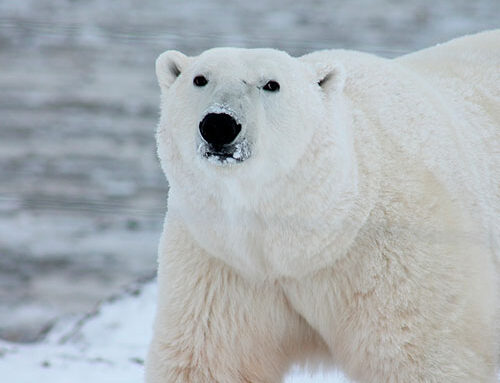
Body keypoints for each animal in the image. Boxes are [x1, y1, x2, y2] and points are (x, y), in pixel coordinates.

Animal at [146, 30, 500, 383]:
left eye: (271, 84)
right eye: (200, 79)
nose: (219, 124)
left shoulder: (400, 258)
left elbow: (419, 356)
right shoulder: (222, 263)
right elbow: (210, 359)